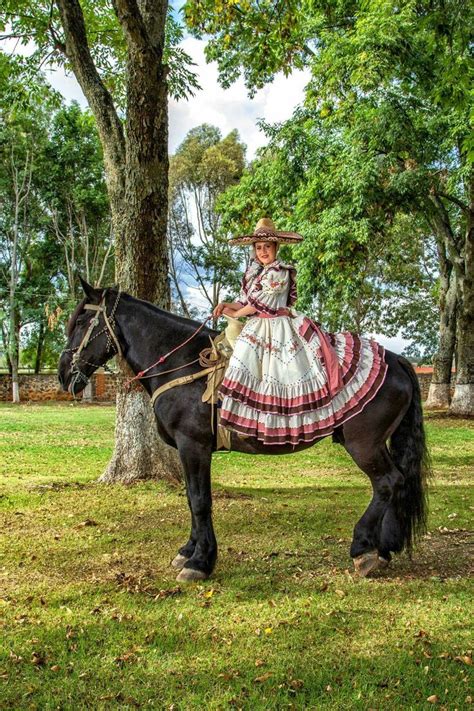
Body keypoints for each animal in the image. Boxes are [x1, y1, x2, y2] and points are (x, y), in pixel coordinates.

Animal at [59, 280, 430, 584]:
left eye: (81, 322)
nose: (63, 374)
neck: (181, 363)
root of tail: (396, 359)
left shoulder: (193, 445)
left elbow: (200, 501)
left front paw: (200, 562)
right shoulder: (188, 450)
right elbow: (192, 499)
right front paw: (188, 551)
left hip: (363, 444)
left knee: (387, 483)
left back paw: (363, 549)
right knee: (397, 483)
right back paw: (386, 547)